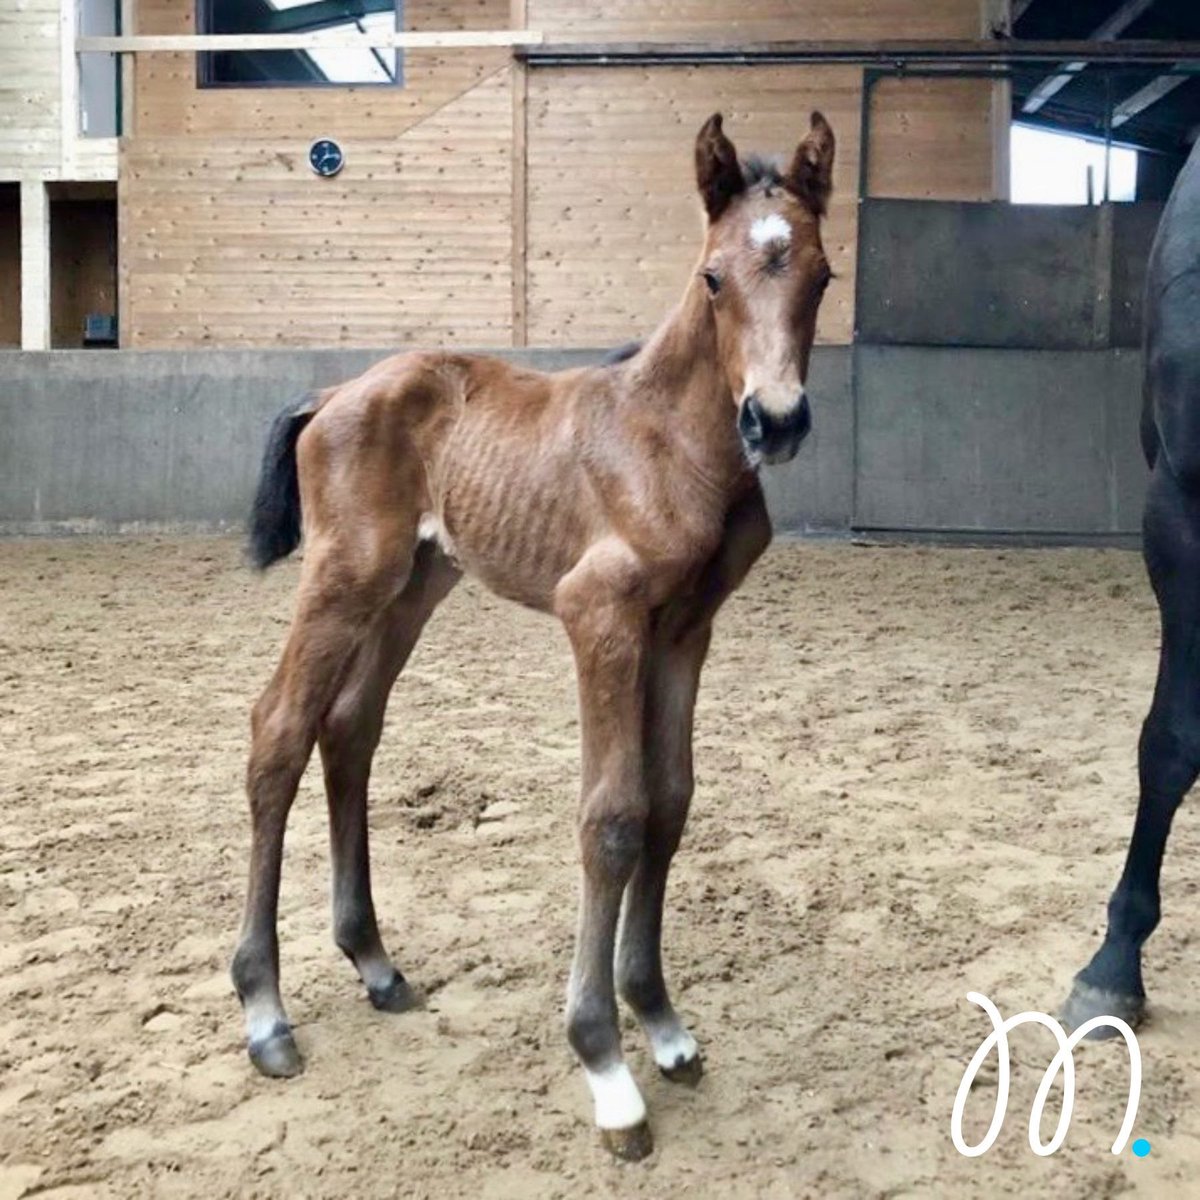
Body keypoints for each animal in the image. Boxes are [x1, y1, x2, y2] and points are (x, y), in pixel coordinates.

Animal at [230, 111, 836, 1159]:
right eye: (713, 277)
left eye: (824, 275)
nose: (777, 419)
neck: (670, 442)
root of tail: (334, 393)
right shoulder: (600, 616)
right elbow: (613, 817)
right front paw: (606, 1065)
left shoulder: (686, 630)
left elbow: (670, 802)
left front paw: (662, 1025)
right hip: (344, 578)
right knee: (279, 733)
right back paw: (266, 1012)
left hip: (414, 587)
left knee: (348, 730)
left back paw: (376, 964)